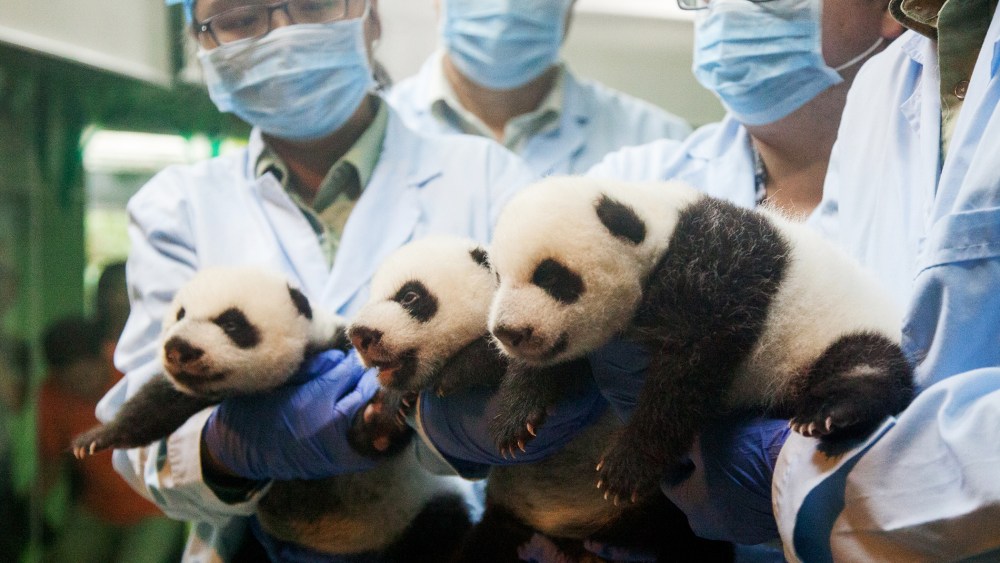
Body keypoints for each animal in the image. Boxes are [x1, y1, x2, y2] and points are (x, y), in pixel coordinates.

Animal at [72, 266, 473, 560]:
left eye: (232, 323)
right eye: (180, 314)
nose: (178, 349)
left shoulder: (334, 344)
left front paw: (382, 419)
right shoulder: (196, 393)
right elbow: (156, 402)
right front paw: (94, 439)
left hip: (415, 511)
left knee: (443, 523)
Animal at [348, 235, 734, 562]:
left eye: (410, 297)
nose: (359, 335)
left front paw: (460, 375)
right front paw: (382, 415)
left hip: (657, 510)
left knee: (693, 544)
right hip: (508, 522)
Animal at [487, 176, 915, 504]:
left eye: (551, 277)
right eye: (499, 277)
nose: (508, 332)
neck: (663, 232)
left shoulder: (716, 272)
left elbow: (689, 369)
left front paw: (626, 467)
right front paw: (515, 419)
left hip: (843, 328)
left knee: (866, 363)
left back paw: (828, 412)